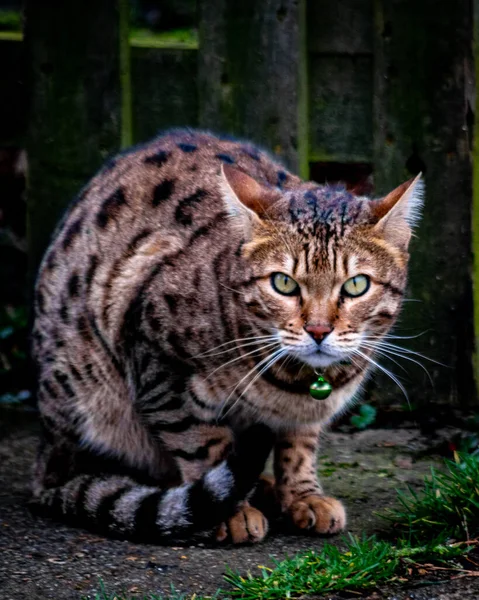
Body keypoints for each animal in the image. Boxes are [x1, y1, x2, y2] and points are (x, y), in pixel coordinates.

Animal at [31, 130, 424, 544]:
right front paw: (233, 512)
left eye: (356, 285)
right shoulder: (158, 367)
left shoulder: (305, 415)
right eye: (283, 283)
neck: (295, 382)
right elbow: (202, 444)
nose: (318, 330)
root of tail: (45, 460)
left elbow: (298, 448)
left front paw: (303, 496)